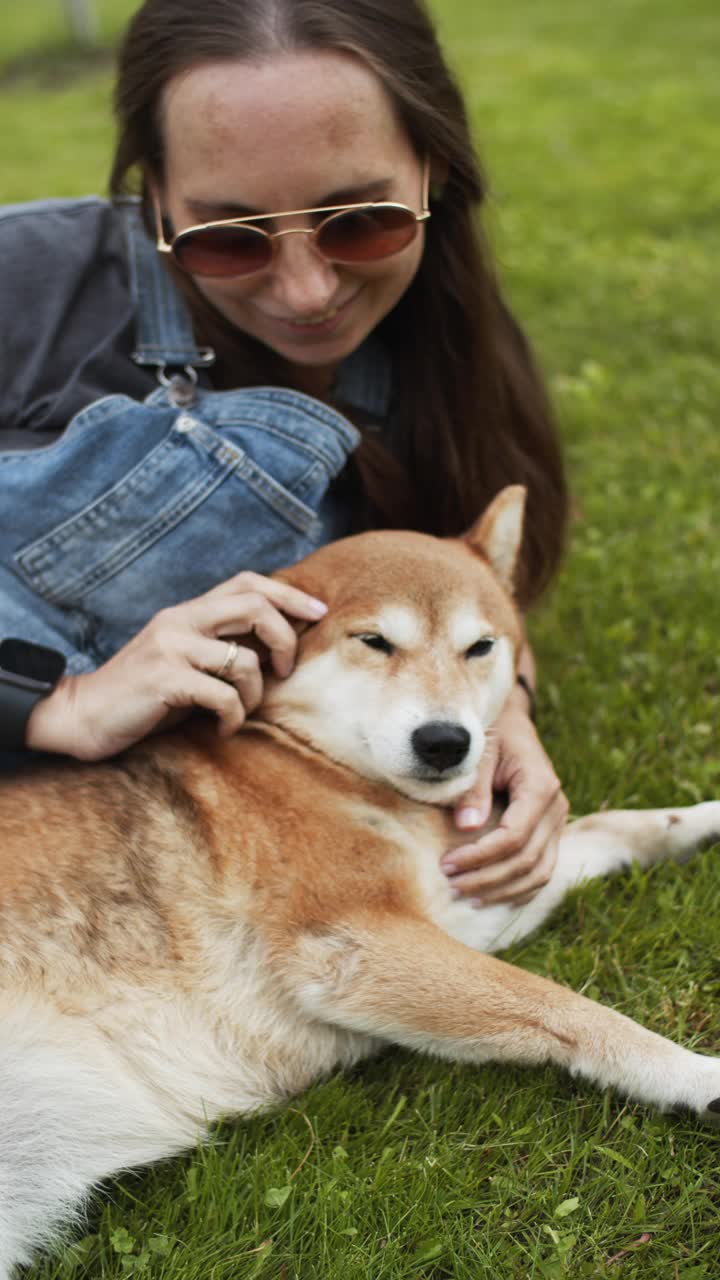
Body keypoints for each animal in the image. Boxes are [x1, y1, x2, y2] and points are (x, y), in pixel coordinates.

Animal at [1, 483, 717, 1274]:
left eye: (480, 646)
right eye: (375, 641)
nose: (445, 741)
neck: (312, 759)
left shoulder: (458, 897)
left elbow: (607, 830)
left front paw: (701, 819)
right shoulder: (354, 944)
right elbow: (575, 1009)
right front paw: (696, 1076)